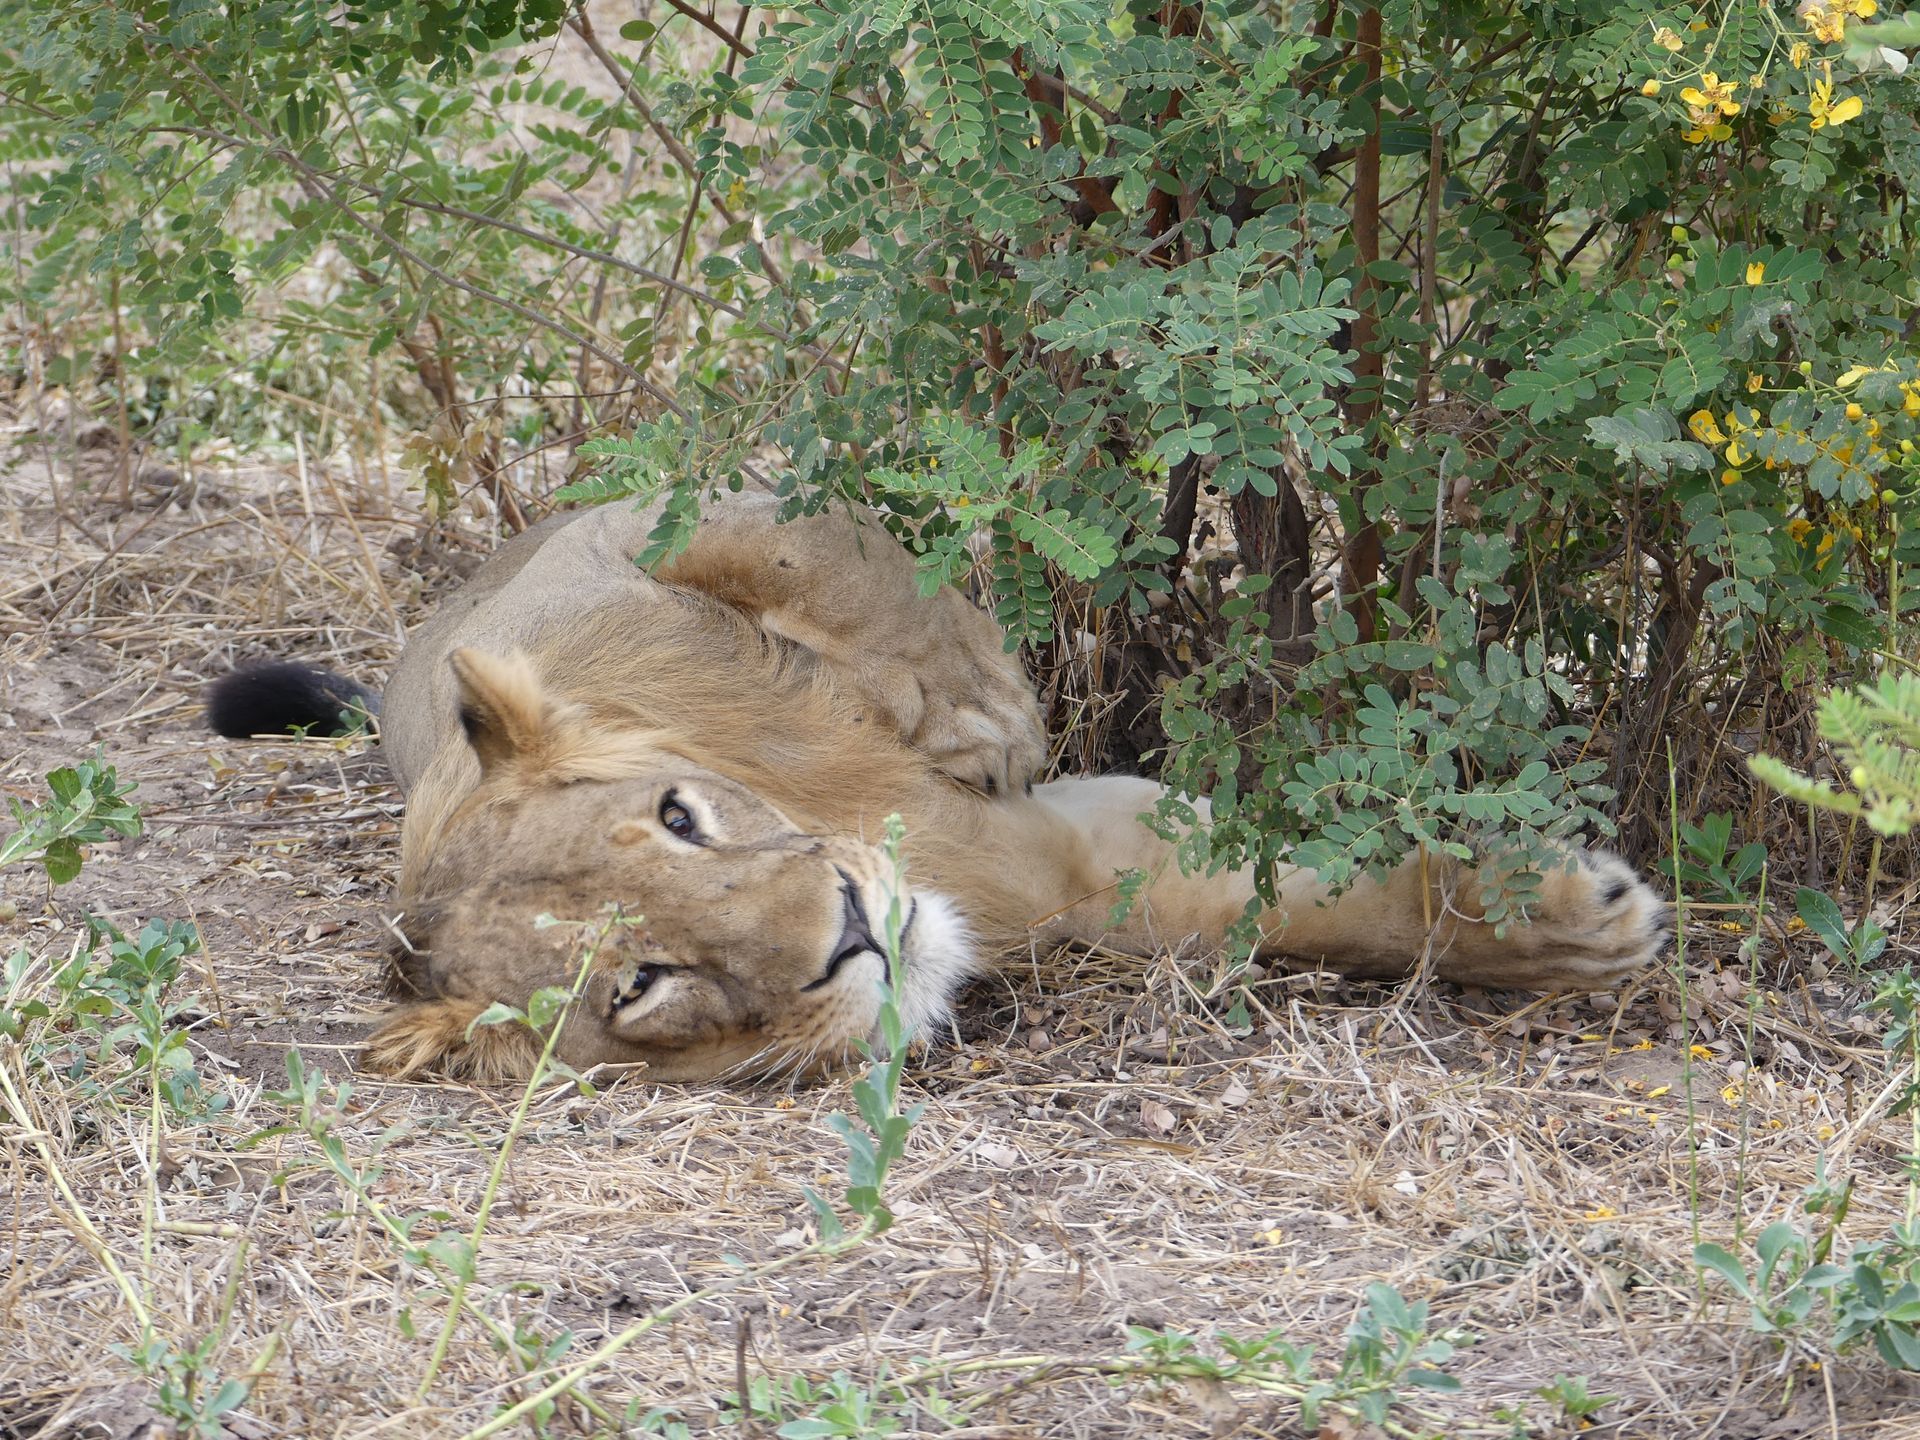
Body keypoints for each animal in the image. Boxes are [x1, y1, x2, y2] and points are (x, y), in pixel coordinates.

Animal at [207, 490, 1668, 1084]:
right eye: (642, 988)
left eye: (681, 818)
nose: (853, 929)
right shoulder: (1086, 873)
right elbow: (1303, 904)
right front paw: (1570, 931)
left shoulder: (609, 567)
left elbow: (809, 547)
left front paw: (984, 704)